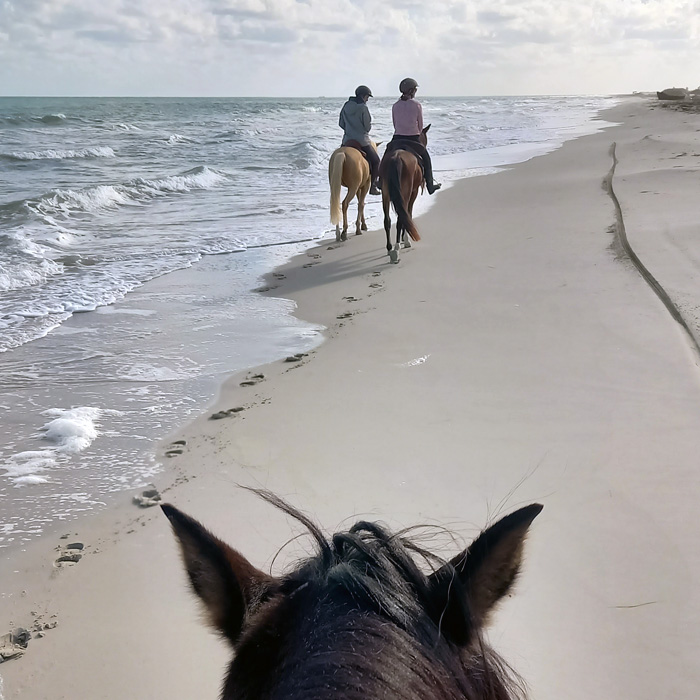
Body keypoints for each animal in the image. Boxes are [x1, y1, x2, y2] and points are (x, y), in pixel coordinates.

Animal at [380, 124, 430, 264]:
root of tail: (396, 158)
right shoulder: (413, 192)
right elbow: (409, 213)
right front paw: (406, 240)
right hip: (406, 192)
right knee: (401, 217)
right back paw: (396, 250)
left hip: (385, 194)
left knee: (387, 220)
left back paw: (389, 248)